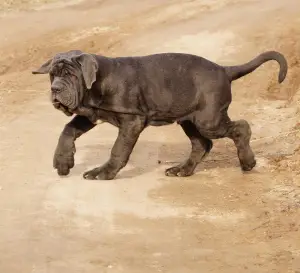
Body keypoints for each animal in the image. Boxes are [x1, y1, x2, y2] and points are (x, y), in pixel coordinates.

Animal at [31, 50, 288, 180]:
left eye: (70, 75)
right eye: (52, 75)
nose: (55, 89)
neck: (96, 83)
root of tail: (225, 70)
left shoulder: (132, 121)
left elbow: (118, 149)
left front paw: (104, 172)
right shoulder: (90, 114)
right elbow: (67, 131)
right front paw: (62, 162)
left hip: (208, 120)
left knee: (240, 127)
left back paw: (247, 162)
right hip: (190, 119)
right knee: (202, 144)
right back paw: (182, 170)